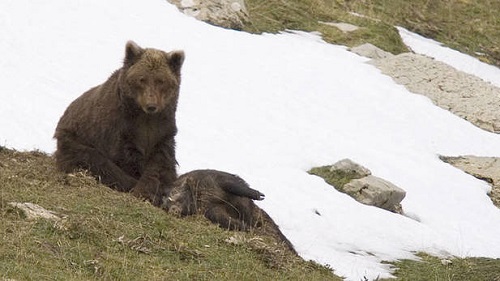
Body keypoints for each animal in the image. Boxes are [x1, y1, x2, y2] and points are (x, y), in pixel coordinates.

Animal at [53, 40, 186, 205]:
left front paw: (150, 189)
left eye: (161, 81)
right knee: (93, 160)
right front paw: (140, 188)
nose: (151, 105)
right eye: (142, 79)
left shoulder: (163, 129)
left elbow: (162, 163)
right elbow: (126, 158)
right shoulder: (121, 127)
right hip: (74, 138)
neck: (144, 117)